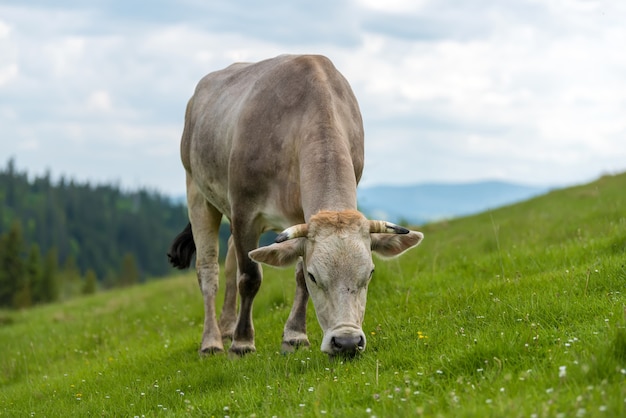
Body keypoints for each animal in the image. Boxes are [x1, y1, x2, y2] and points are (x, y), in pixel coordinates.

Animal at [166, 54, 422, 358]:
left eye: (370, 273)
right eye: (316, 277)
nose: (347, 342)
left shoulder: (300, 218)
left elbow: (293, 276)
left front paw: (295, 336)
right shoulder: (244, 211)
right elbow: (250, 276)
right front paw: (242, 343)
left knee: (229, 261)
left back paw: (227, 326)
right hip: (198, 192)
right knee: (208, 270)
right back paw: (213, 341)